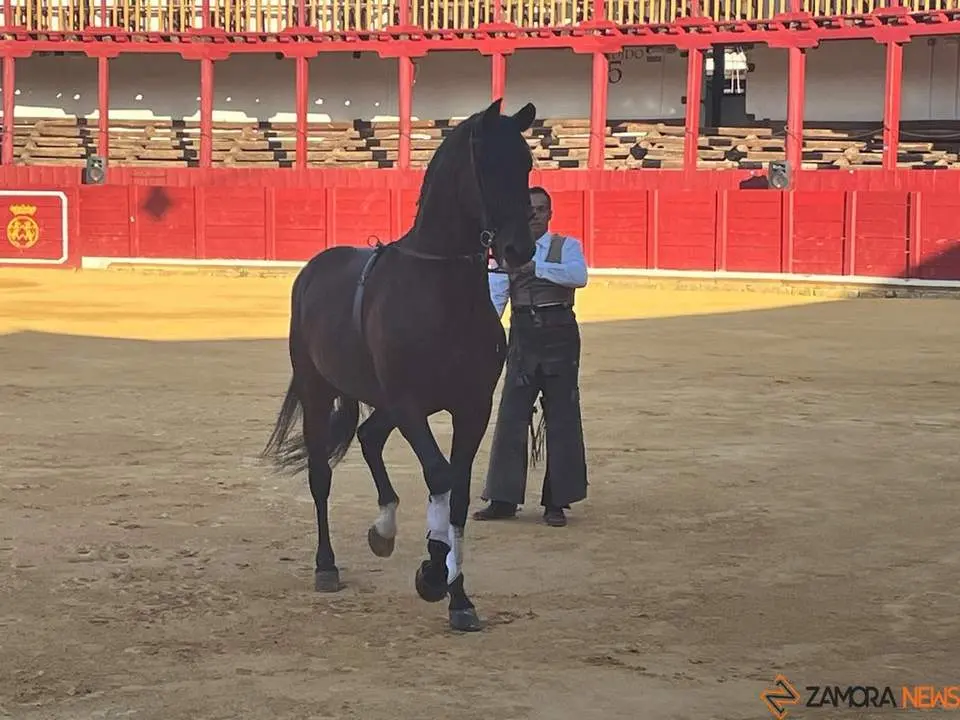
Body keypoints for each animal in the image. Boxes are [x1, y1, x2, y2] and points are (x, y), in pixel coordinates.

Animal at [260, 98, 539, 632]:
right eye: (488, 165)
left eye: (527, 162)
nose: (520, 249)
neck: (443, 291)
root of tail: (314, 268)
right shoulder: (411, 404)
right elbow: (440, 476)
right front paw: (432, 573)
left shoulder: (472, 406)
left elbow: (459, 492)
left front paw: (459, 598)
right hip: (317, 389)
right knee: (321, 474)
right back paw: (327, 567)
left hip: (381, 399)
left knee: (368, 436)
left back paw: (383, 530)